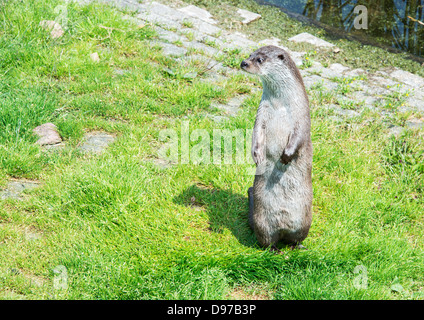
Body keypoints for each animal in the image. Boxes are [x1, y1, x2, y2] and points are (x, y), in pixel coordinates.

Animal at [242, 45, 312, 251]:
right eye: (250, 55)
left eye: (260, 59)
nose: (243, 63)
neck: (281, 105)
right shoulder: (262, 112)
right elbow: (256, 132)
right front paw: (256, 155)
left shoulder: (302, 116)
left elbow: (298, 137)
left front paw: (286, 156)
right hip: (262, 221)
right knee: (266, 240)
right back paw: (274, 250)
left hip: (304, 221)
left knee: (296, 238)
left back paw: (298, 247)